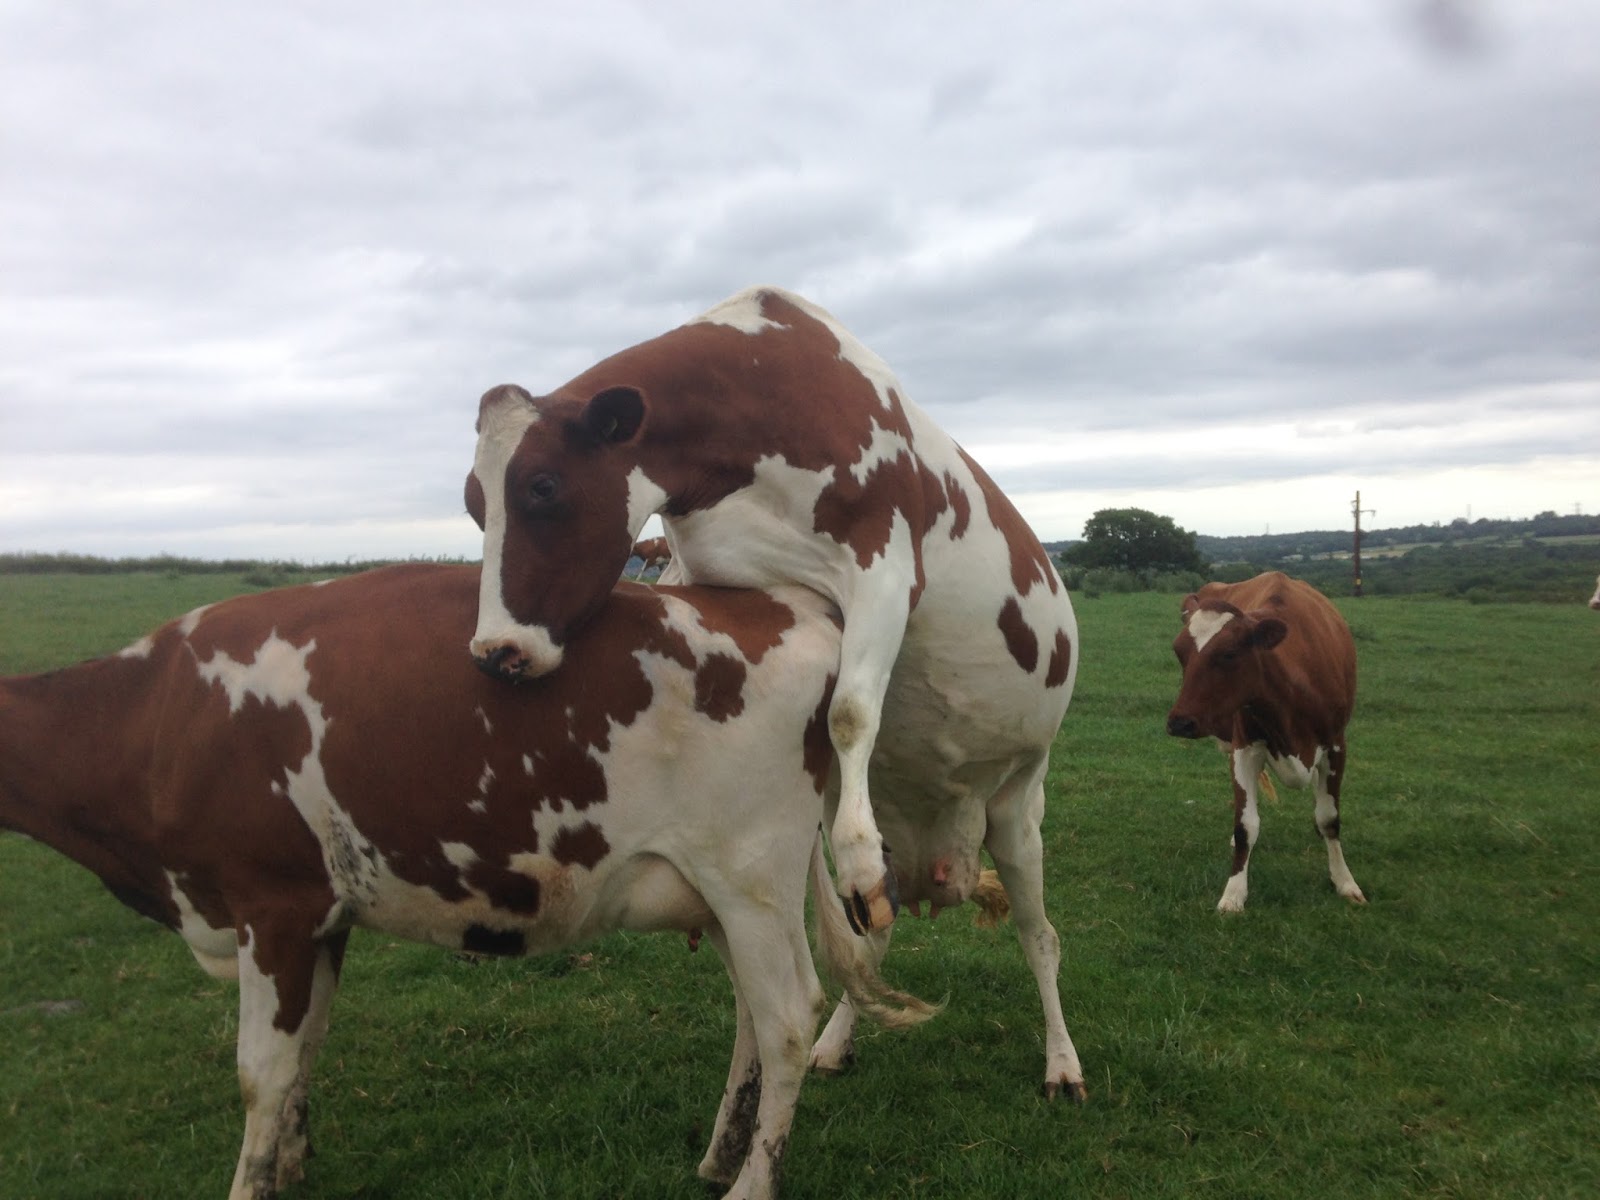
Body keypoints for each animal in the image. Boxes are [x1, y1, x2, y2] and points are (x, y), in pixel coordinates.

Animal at [0, 563, 935, 1200]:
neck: (158, 717)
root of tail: (782, 601)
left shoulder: (272, 904)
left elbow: (259, 1071)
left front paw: (251, 1181)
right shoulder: (322, 918)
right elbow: (304, 1052)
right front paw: (292, 1162)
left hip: (749, 873)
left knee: (786, 1020)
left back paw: (750, 1181)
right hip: (731, 888)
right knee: (753, 1015)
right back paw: (720, 1153)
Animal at [464, 285, 1086, 1099]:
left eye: (543, 487)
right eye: (473, 503)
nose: (495, 652)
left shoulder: (885, 567)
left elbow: (851, 711)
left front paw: (851, 855)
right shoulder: (724, 577)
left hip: (1017, 804)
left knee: (1039, 934)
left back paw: (1062, 1062)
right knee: (873, 939)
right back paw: (835, 1039)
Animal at [1165, 571, 1366, 913]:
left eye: (1229, 653)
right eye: (1180, 652)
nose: (1179, 722)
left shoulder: (1336, 746)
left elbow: (1329, 818)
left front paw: (1345, 882)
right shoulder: (1244, 748)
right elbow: (1246, 824)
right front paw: (1234, 893)